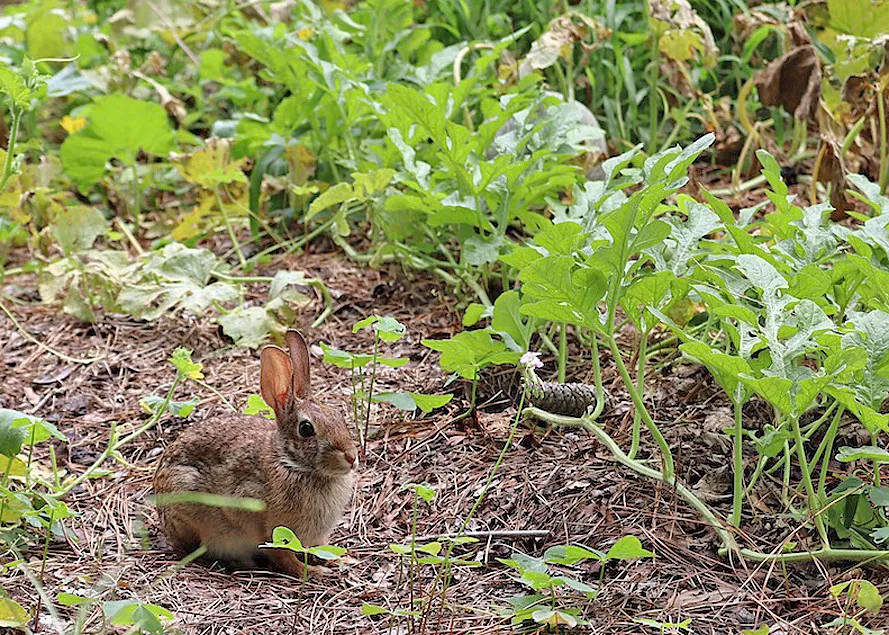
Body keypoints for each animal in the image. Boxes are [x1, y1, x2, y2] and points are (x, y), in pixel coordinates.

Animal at [152, 330, 357, 577]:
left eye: (338, 415)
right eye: (306, 429)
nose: (351, 457)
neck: (291, 462)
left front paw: (341, 559)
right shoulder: (268, 527)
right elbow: (283, 557)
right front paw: (311, 571)